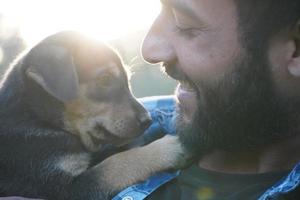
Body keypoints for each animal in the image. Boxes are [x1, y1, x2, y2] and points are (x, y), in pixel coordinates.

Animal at [0, 31, 188, 200]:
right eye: (105, 79)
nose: (147, 121)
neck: (34, 116)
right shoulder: (58, 188)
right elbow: (116, 164)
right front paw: (168, 148)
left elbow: (116, 152)